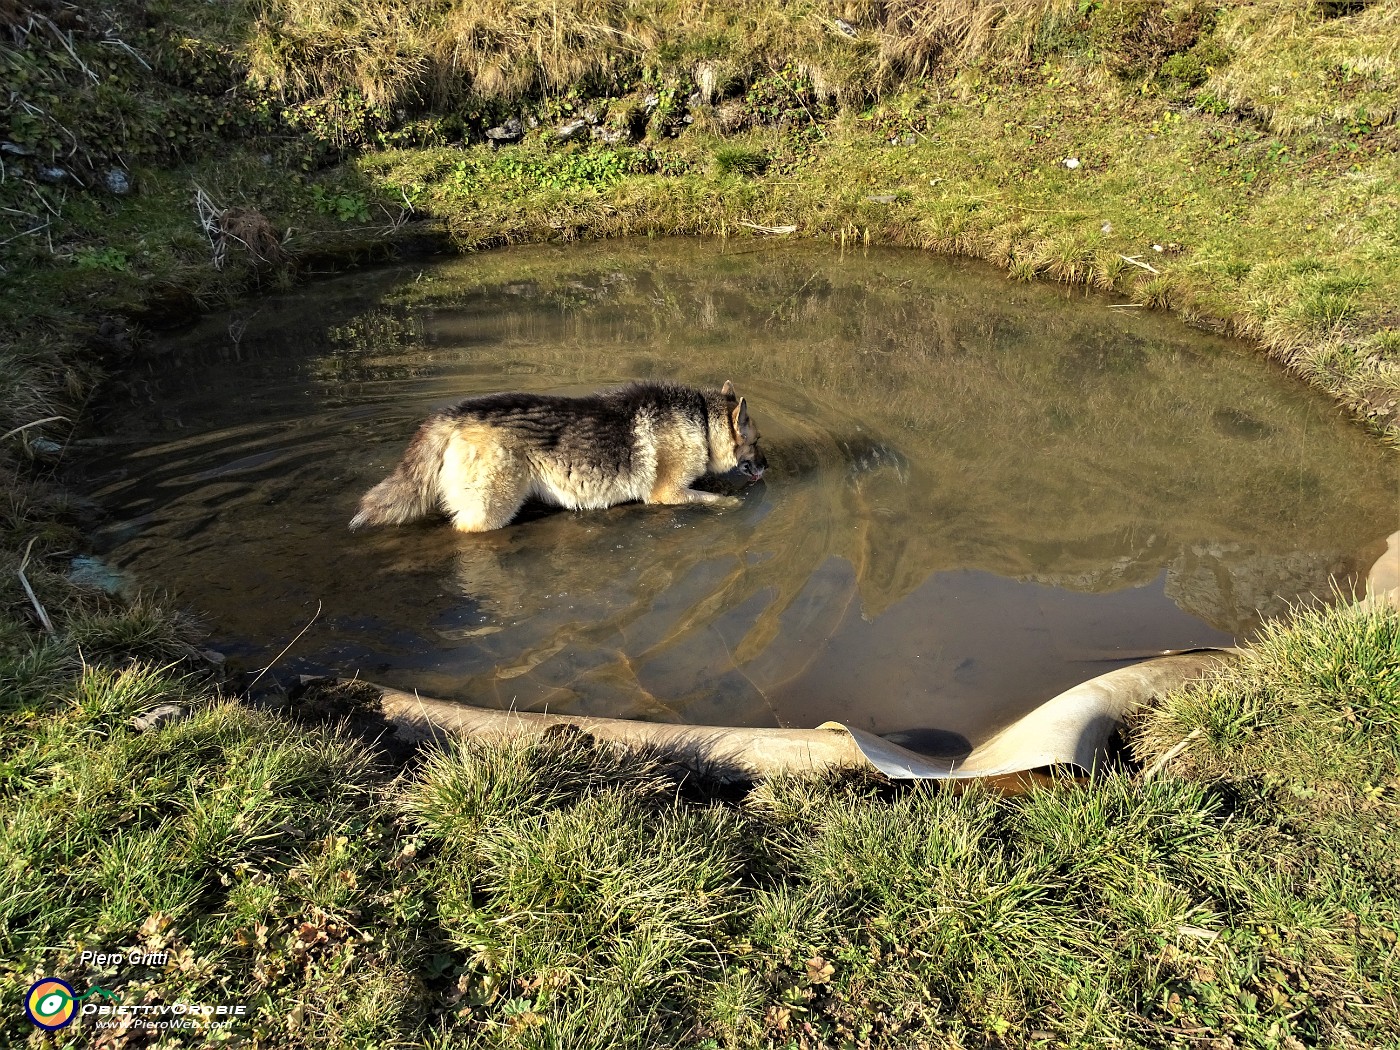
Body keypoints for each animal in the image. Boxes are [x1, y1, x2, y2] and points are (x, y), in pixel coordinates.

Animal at [347, 380, 767, 534]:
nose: (767, 466)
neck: (701, 420)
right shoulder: (666, 495)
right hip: (490, 512)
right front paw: (732, 503)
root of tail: (451, 415)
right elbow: (714, 498)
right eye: (757, 440)